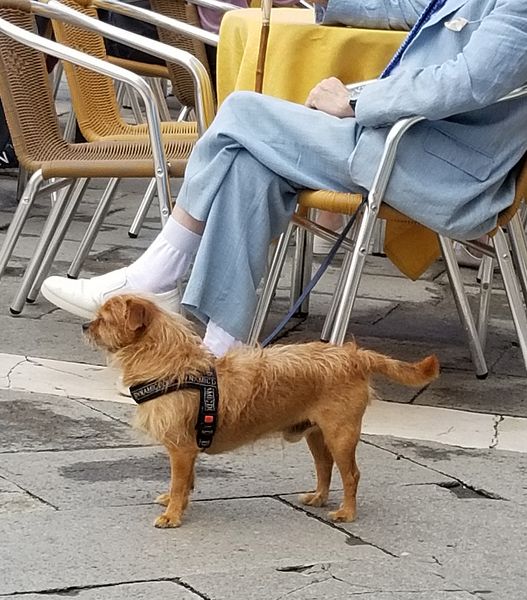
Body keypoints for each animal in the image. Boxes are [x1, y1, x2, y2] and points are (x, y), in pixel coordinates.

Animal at [84, 296, 442, 528]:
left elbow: (178, 483)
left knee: (351, 474)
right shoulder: (188, 451)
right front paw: (180, 504)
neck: (171, 364)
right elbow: (185, 484)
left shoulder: (181, 450)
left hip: (340, 435)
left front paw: (173, 515)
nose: (86, 325)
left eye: (105, 319)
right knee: (325, 467)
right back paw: (319, 497)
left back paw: (347, 513)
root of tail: (354, 356)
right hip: (317, 435)